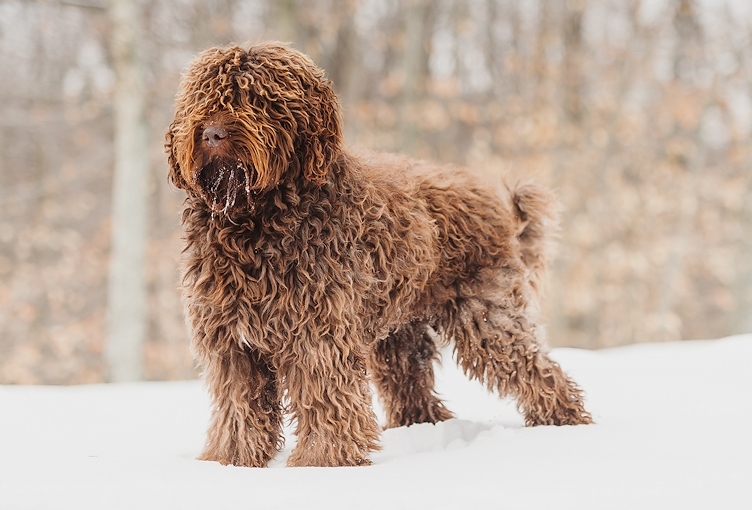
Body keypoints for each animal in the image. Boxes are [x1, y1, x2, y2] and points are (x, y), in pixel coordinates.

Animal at [166, 42, 592, 466]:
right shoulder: (231, 342)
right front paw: (231, 460)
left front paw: (324, 461)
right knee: (412, 388)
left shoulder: (318, 333)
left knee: (536, 369)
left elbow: (324, 397)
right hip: (402, 332)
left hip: (487, 314)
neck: (255, 221)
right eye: (203, 97)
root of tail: (493, 201)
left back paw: (565, 423)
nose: (212, 133)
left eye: (257, 99)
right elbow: (239, 406)